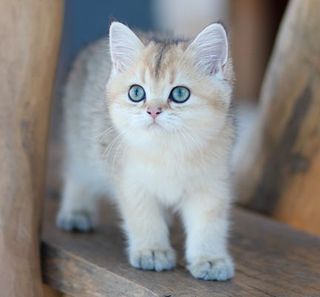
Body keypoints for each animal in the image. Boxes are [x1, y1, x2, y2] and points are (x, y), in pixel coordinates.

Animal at [55, 21, 235, 280]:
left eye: (180, 94)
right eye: (136, 93)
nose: (153, 111)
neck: (168, 150)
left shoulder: (210, 185)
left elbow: (209, 224)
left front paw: (210, 259)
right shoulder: (131, 183)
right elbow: (143, 217)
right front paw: (153, 251)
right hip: (81, 146)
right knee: (77, 176)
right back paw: (77, 211)